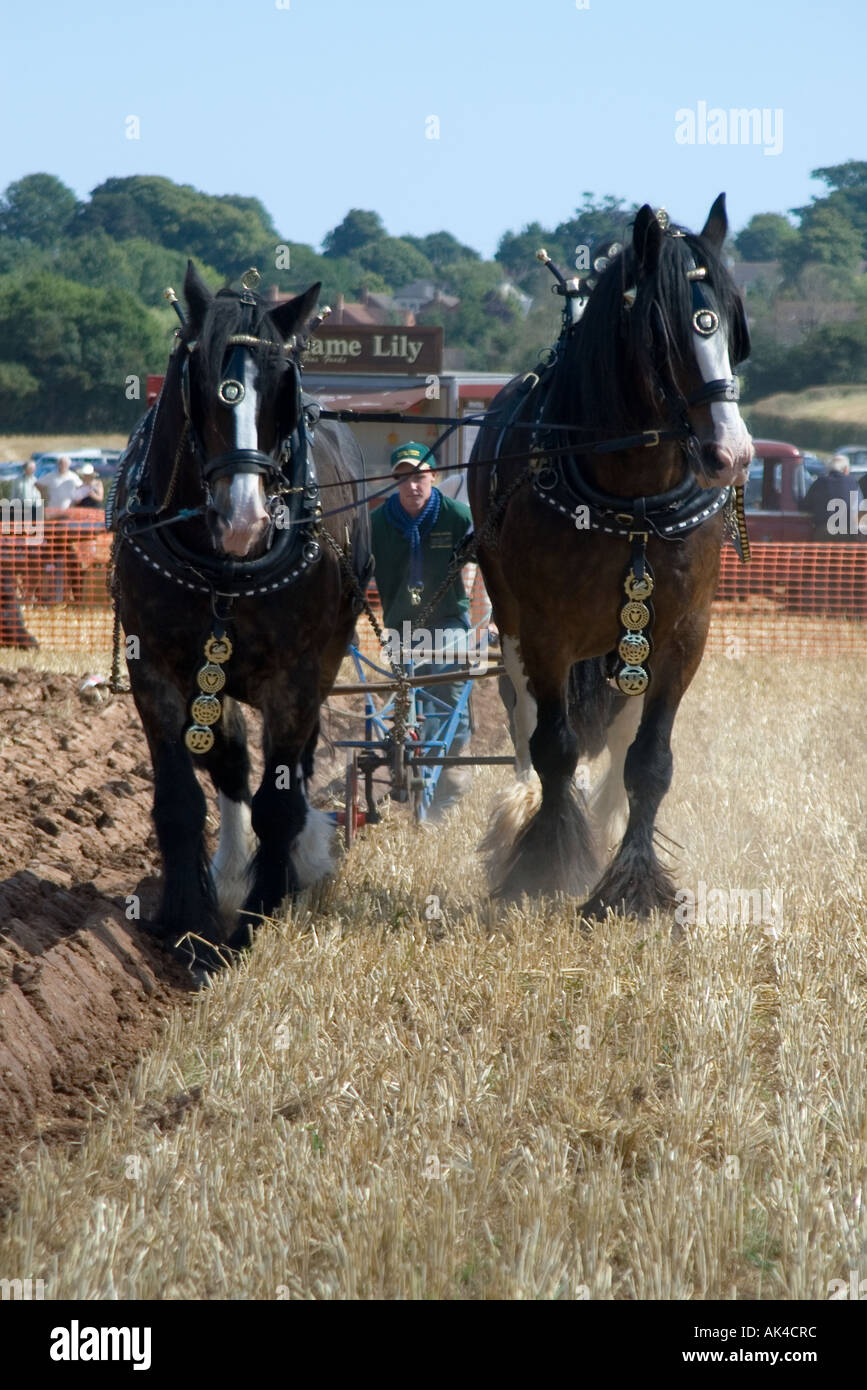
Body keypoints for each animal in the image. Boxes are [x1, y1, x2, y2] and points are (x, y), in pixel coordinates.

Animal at [111, 262, 369, 978]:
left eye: (284, 382)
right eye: (201, 380)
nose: (245, 520)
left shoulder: (298, 677)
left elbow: (280, 802)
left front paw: (259, 920)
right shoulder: (156, 669)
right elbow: (182, 798)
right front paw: (190, 922)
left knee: (296, 766)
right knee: (229, 764)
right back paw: (227, 874)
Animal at [466, 190, 750, 917]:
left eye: (732, 328)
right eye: (664, 329)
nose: (731, 453)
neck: (632, 500)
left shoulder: (680, 634)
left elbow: (648, 761)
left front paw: (633, 885)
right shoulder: (543, 633)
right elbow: (554, 747)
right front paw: (542, 864)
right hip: (516, 627)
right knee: (526, 728)